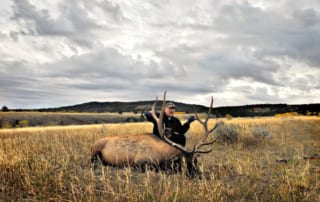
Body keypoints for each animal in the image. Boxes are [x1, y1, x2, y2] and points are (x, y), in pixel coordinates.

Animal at [91, 90, 219, 176]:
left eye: (196, 160)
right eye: (182, 160)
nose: (197, 174)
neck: (162, 155)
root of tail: (93, 145)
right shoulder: (139, 162)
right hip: (94, 152)